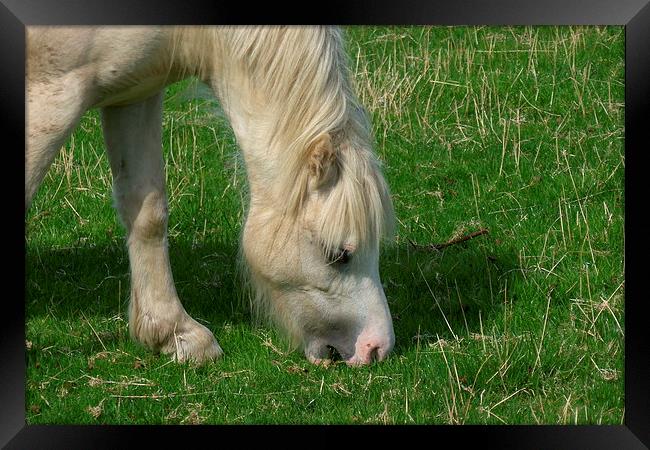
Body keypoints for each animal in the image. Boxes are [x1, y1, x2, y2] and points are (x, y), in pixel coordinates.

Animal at [26, 25, 394, 366]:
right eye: (339, 255)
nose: (376, 347)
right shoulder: (53, 94)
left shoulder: (135, 94)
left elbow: (148, 214)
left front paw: (174, 333)